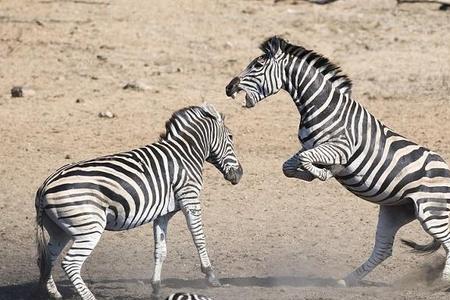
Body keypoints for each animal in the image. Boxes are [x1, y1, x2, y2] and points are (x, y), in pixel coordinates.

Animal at [35, 103, 243, 300]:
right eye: (231, 137)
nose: (240, 174)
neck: (185, 154)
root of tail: (45, 185)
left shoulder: (163, 213)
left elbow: (160, 250)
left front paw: (156, 287)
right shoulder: (189, 198)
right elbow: (199, 238)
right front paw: (211, 275)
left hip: (60, 230)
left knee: (47, 258)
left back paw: (53, 293)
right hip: (89, 227)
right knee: (70, 263)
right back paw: (88, 297)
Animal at [227, 37, 450, 286]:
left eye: (257, 65)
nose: (229, 88)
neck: (322, 106)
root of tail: (446, 169)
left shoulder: (340, 148)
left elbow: (306, 161)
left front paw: (324, 173)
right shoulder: (310, 146)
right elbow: (288, 167)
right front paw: (312, 173)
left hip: (431, 211)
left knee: (447, 242)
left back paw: (443, 282)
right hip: (396, 210)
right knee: (383, 249)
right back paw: (347, 280)